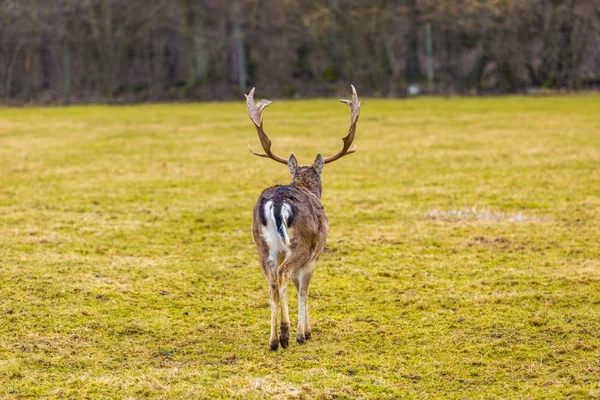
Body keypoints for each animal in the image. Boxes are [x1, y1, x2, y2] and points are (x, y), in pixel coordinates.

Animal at [245, 85, 360, 350]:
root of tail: (277, 202)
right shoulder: (314, 257)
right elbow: (304, 291)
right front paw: (305, 332)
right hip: (301, 245)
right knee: (283, 274)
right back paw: (287, 334)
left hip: (263, 247)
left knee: (272, 284)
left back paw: (273, 340)